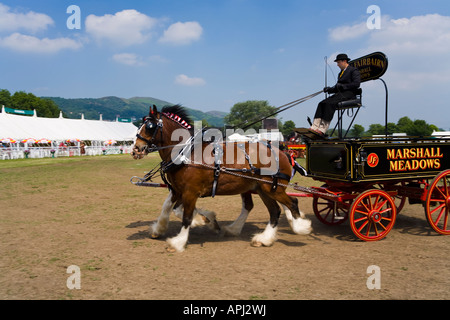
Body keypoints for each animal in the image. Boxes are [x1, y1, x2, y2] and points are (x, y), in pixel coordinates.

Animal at [132, 105, 312, 252]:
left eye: (149, 127)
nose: (136, 149)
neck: (186, 153)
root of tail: (283, 153)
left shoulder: (190, 192)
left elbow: (185, 216)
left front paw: (179, 241)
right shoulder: (178, 190)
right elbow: (170, 208)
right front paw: (204, 219)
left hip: (272, 188)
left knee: (291, 203)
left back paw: (301, 226)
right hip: (262, 189)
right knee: (274, 210)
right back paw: (263, 238)